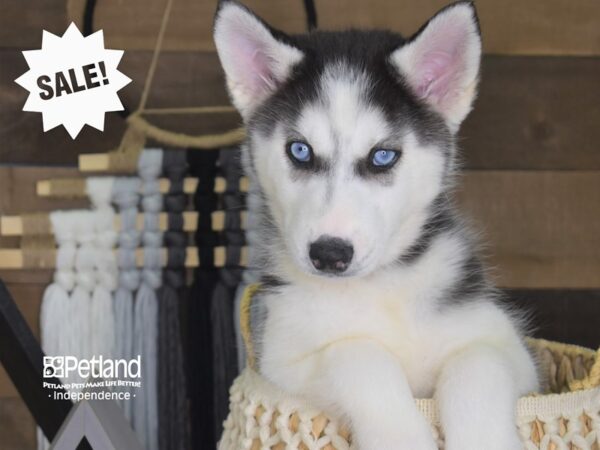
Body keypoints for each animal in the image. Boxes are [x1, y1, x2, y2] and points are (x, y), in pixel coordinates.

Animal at [213, 1, 536, 448]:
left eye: (382, 156)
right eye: (300, 151)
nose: (329, 254)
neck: (378, 287)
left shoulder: (509, 348)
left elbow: (479, 366)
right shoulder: (280, 363)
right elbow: (358, 353)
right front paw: (402, 437)